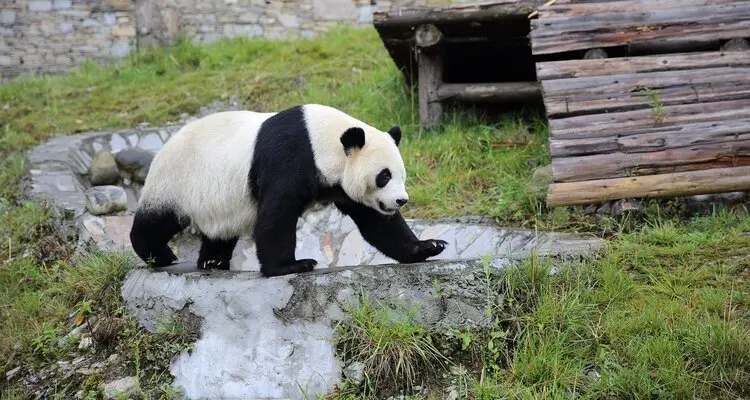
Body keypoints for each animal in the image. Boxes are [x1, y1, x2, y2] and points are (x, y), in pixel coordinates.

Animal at [130, 103, 450, 276]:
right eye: (383, 176)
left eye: (402, 175)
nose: (400, 200)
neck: (322, 139)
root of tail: (164, 146)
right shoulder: (289, 157)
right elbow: (276, 215)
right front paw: (292, 265)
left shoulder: (341, 183)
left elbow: (377, 223)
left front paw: (428, 246)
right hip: (176, 179)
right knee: (156, 220)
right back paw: (160, 255)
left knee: (220, 230)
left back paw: (212, 260)